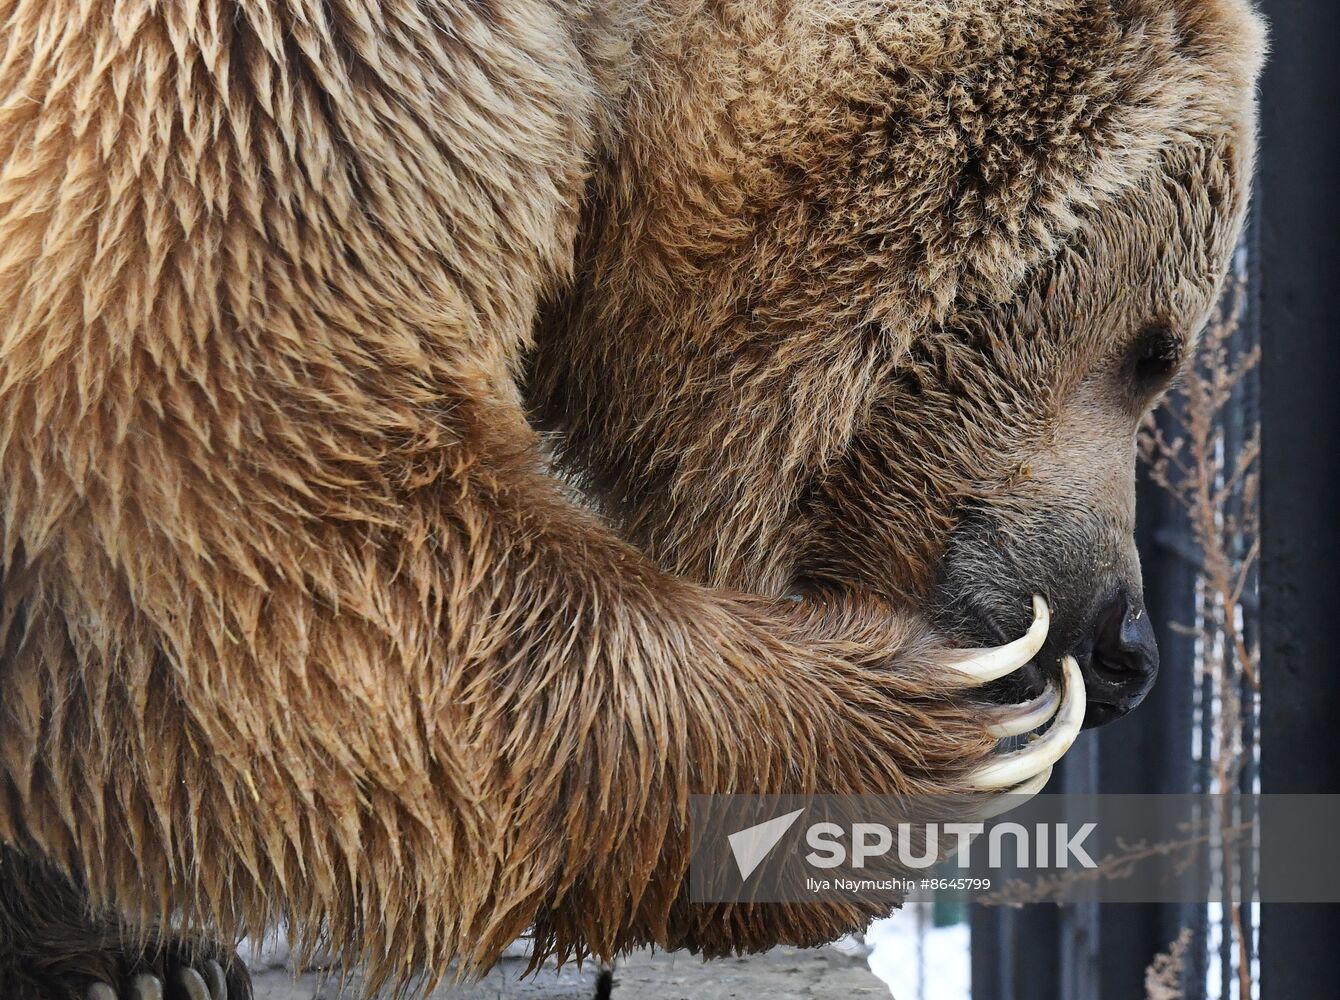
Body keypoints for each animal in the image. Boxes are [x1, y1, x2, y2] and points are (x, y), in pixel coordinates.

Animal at [0, 0, 1254, 991]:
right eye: (1154, 348)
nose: (1124, 647)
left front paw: (126, 947)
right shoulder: (275, 74)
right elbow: (272, 487)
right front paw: (933, 738)